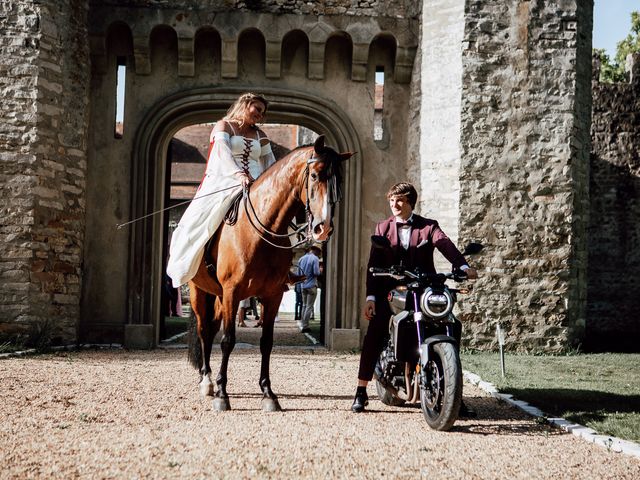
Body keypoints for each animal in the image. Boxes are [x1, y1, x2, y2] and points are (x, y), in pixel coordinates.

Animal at [188, 136, 352, 412]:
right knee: (203, 330)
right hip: (199, 293)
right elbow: (228, 340)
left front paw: (268, 393)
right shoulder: (233, 292)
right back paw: (207, 381)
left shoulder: (272, 295)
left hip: (218, 296)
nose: (323, 228)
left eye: (339, 181)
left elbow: (266, 342)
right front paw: (222, 394)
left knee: (210, 329)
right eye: (315, 175)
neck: (262, 230)